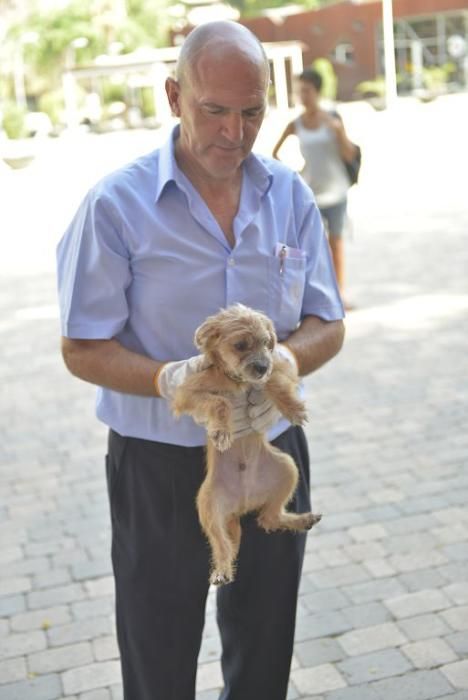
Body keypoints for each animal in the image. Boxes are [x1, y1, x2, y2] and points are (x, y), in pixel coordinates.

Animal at [172, 306, 322, 584]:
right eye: (240, 345)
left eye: (267, 343)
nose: (261, 367)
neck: (237, 381)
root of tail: (242, 505)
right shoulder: (186, 394)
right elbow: (220, 402)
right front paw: (222, 431)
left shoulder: (279, 367)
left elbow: (274, 382)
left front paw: (293, 409)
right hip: (208, 507)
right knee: (222, 545)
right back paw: (221, 571)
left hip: (287, 468)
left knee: (268, 518)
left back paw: (302, 519)